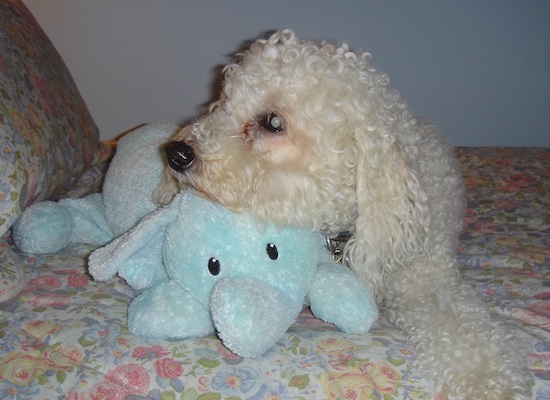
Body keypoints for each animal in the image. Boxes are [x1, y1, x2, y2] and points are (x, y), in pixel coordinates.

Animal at [156, 29, 536, 398]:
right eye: (224, 102)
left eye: (273, 121)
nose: (176, 154)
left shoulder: (428, 282)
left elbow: (465, 332)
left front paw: (488, 381)